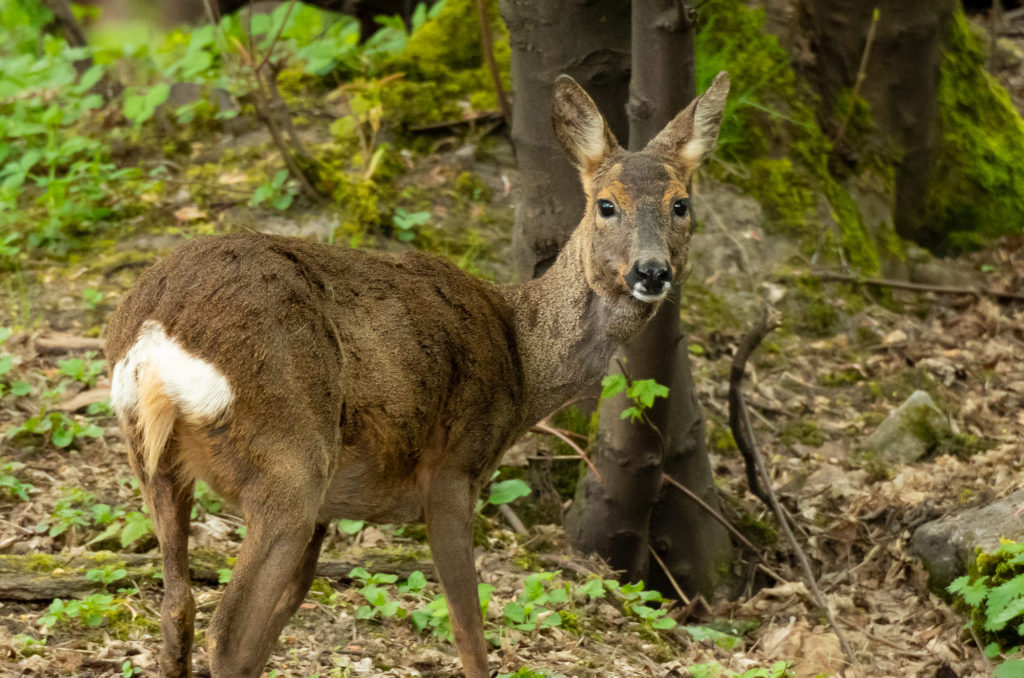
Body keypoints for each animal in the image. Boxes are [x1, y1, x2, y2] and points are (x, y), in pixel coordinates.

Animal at [105, 71, 729, 675]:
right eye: (605, 204)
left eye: (681, 204)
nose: (651, 271)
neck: (521, 356)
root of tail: (157, 332)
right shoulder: (452, 469)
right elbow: (469, 631)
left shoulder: (329, 510)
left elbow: (283, 615)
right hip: (288, 457)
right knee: (228, 632)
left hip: (159, 461)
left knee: (178, 608)